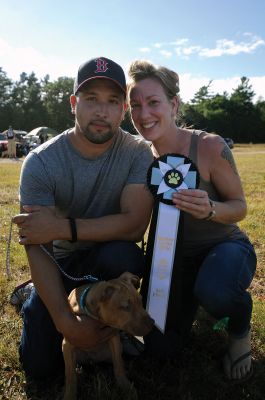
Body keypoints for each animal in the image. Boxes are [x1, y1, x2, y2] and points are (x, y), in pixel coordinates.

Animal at [61, 272, 153, 400]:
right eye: (126, 307)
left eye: (140, 300)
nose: (153, 323)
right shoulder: (67, 344)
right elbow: (70, 375)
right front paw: (69, 394)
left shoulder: (114, 338)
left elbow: (118, 366)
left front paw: (126, 388)